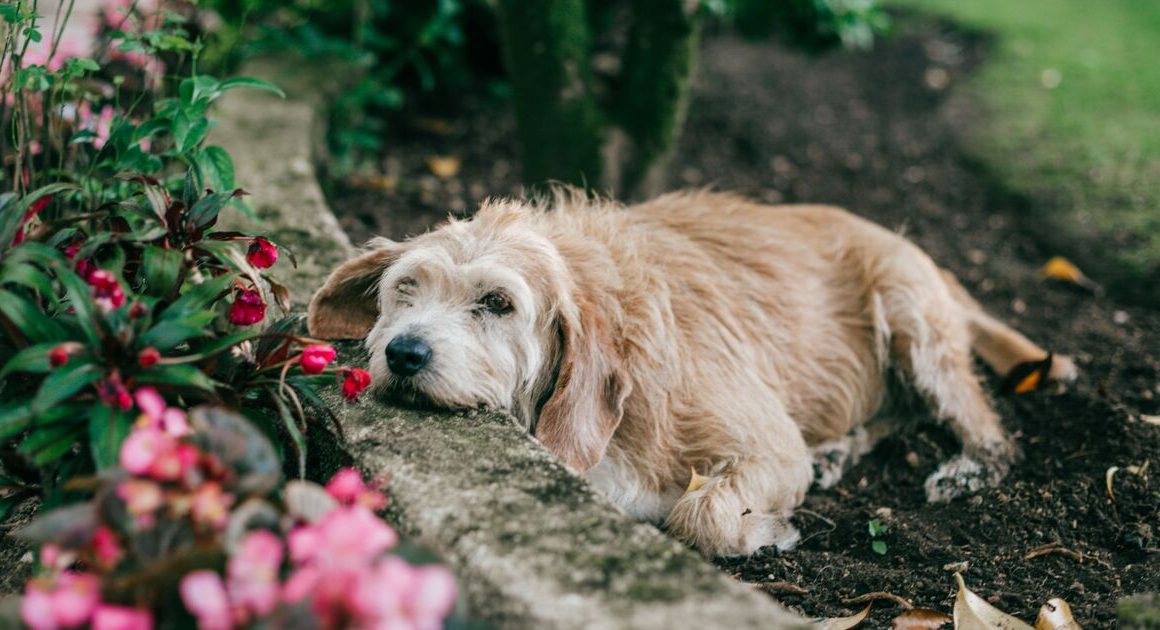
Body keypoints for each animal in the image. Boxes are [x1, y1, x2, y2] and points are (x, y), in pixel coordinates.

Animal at [308, 191, 1076, 556]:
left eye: (498, 303)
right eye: (405, 290)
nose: (404, 353)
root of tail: (918, 250)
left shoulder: (767, 445)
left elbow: (701, 514)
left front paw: (767, 532)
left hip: (910, 314)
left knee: (983, 425)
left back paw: (970, 466)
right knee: (893, 414)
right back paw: (837, 452)